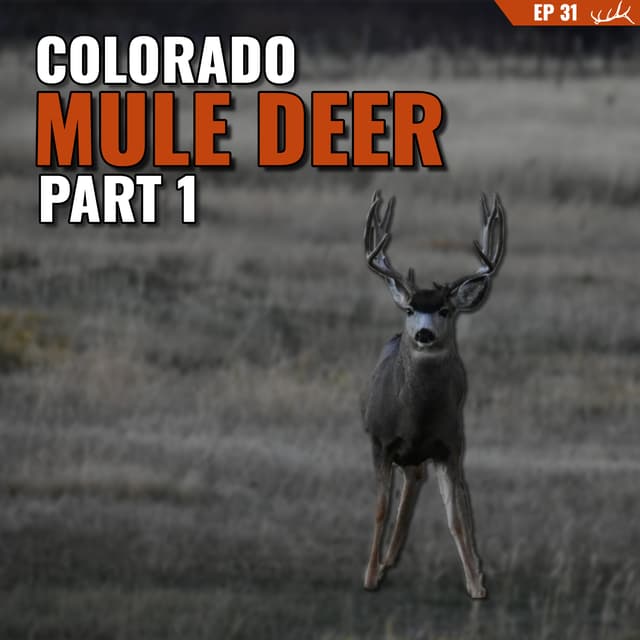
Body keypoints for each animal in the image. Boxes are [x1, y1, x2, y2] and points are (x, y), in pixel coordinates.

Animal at [361, 190, 506, 599]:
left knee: (428, 485)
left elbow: (458, 515)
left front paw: (476, 583)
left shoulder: (451, 447)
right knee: (410, 482)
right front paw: (370, 577)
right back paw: (386, 560)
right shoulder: (380, 441)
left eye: (444, 309)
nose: (423, 334)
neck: (416, 422)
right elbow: (379, 508)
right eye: (411, 308)